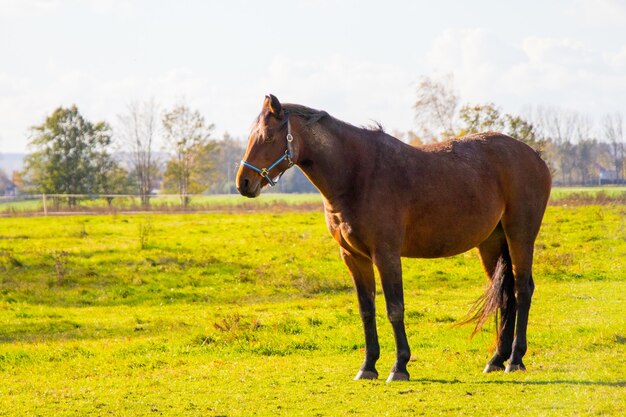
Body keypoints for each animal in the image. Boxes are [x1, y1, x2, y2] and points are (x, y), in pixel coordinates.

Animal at [236, 94, 548, 380]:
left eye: (267, 136)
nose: (244, 182)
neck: (357, 174)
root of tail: (535, 156)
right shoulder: (354, 257)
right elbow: (367, 310)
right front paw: (368, 366)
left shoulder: (386, 255)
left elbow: (394, 308)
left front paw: (399, 367)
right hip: (492, 243)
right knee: (506, 294)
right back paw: (497, 359)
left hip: (520, 237)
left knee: (522, 290)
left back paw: (515, 359)